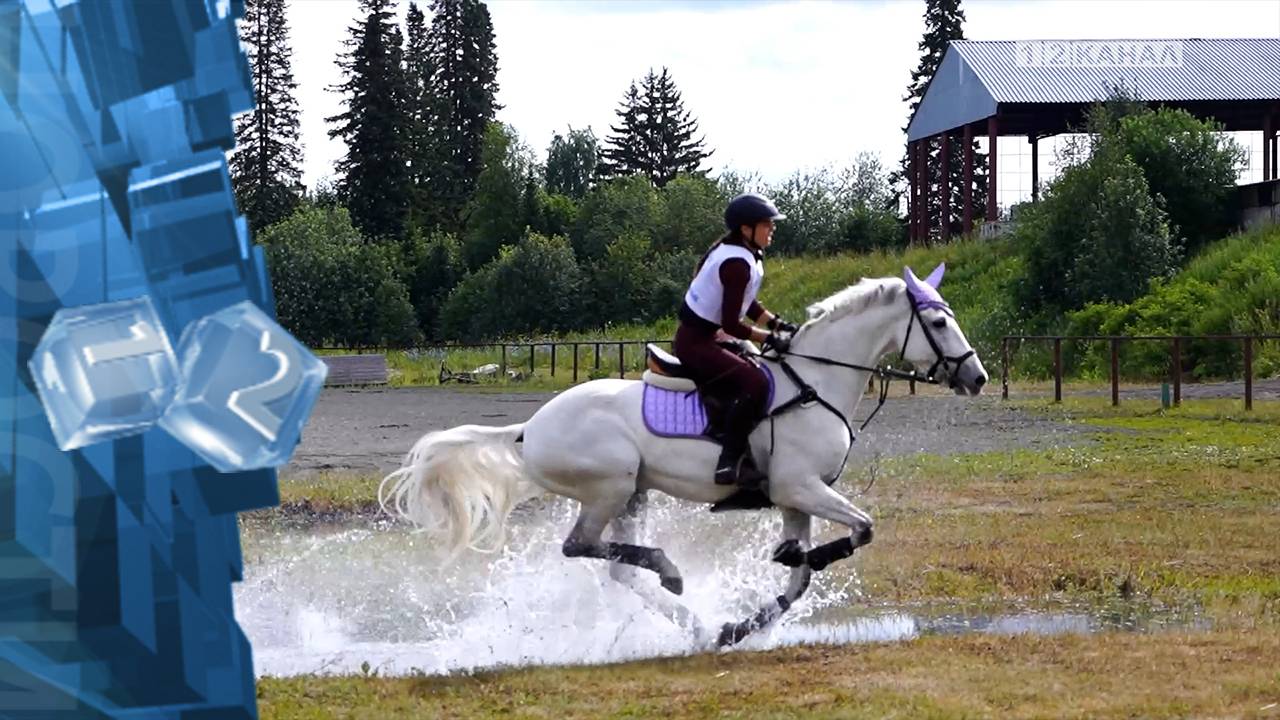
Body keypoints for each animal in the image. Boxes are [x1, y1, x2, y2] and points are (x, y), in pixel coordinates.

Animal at [378, 263, 988, 645]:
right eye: (938, 322)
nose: (977, 378)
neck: (817, 381)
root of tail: (532, 427)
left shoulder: (796, 499)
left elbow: (799, 581)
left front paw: (747, 621)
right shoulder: (799, 487)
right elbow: (860, 531)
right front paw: (796, 562)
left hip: (634, 493)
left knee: (615, 565)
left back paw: (696, 622)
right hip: (611, 485)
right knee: (582, 547)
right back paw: (670, 571)